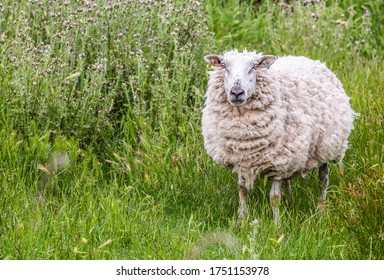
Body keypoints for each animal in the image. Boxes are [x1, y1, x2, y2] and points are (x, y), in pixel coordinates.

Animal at [202, 49, 356, 224]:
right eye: (223, 65)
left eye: (254, 66)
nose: (236, 92)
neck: (244, 133)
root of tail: (307, 59)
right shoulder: (243, 159)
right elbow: (242, 189)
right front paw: (241, 219)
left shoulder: (276, 163)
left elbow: (274, 198)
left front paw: (276, 225)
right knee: (287, 181)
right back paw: (291, 203)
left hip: (325, 148)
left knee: (323, 179)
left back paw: (321, 209)